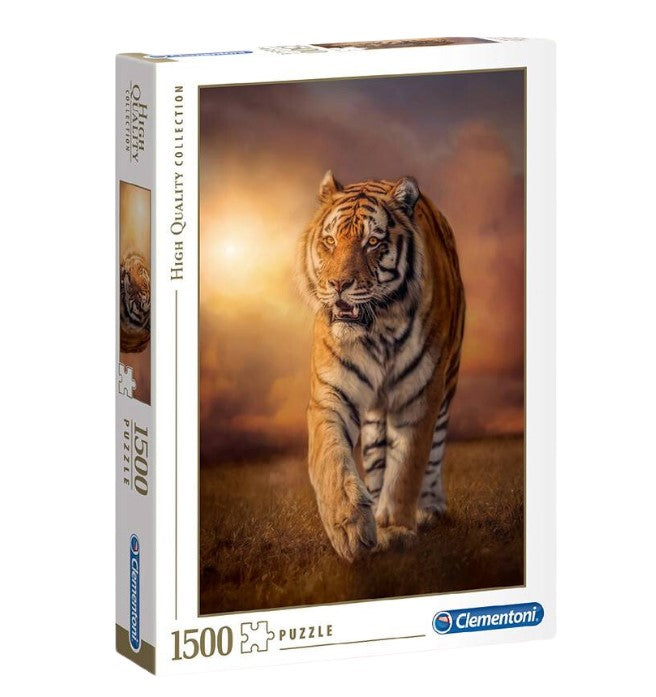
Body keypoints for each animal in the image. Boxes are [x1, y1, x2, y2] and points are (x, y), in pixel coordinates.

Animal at [298, 171, 465, 562]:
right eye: (330, 241)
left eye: (372, 242)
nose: (338, 285)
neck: (379, 331)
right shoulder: (331, 393)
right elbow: (330, 458)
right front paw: (350, 527)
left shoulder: (420, 395)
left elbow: (407, 467)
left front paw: (396, 526)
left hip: (447, 384)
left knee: (434, 451)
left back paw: (429, 508)